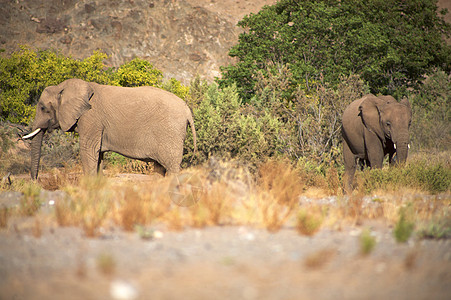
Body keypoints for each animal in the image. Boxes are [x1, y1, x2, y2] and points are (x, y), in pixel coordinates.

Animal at [22, 78, 196, 179]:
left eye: (43, 108)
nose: (35, 181)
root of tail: (187, 109)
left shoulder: (91, 118)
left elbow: (88, 151)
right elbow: (97, 155)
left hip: (170, 132)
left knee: (171, 167)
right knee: (159, 168)